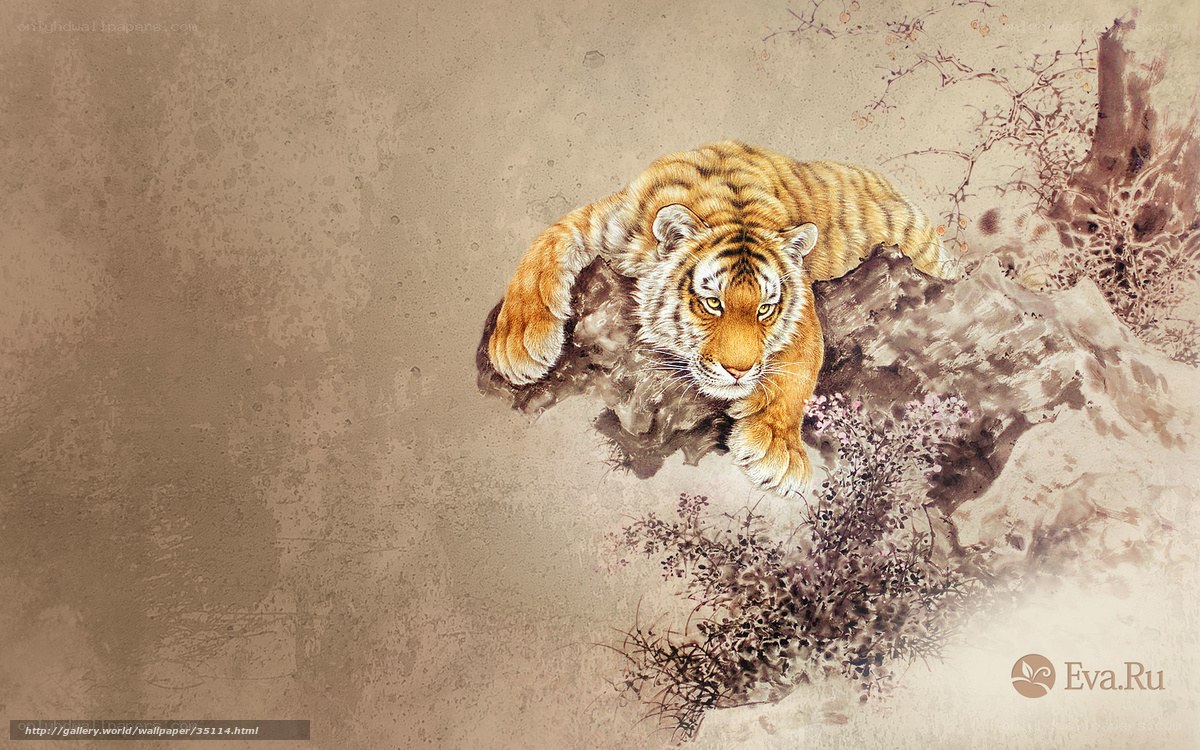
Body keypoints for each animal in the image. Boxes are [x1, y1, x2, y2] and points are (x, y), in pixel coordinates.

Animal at [487, 140, 957, 496]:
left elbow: (800, 365)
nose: (739, 371)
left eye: (765, 309)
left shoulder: (802, 299)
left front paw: (777, 450)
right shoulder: (604, 220)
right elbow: (543, 248)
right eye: (713, 304)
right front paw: (516, 344)